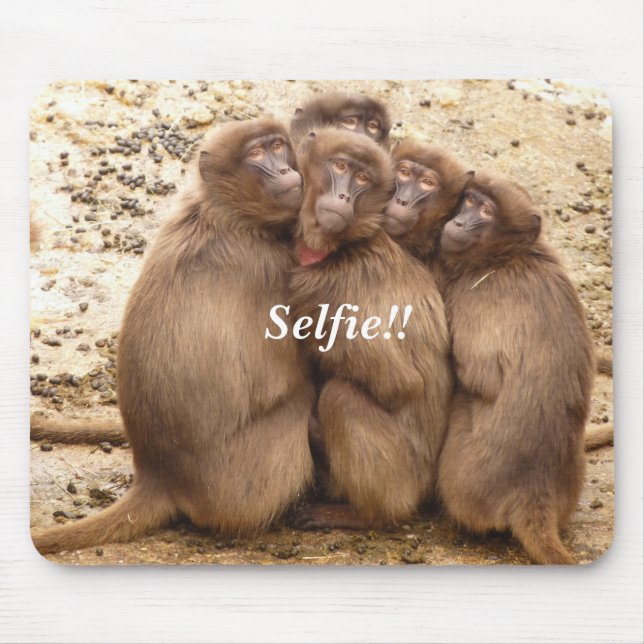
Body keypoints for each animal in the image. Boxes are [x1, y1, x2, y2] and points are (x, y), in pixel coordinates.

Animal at [31, 117, 315, 554]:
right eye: (256, 154)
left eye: (278, 147)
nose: (285, 169)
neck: (224, 214)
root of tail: (160, 475)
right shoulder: (272, 267)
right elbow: (286, 377)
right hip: (245, 486)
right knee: (302, 401)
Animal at [287, 128, 452, 529]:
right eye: (340, 167)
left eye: (361, 179)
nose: (343, 195)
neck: (341, 246)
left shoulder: (330, 288)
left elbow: (398, 384)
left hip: (403, 478)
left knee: (341, 398)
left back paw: (364, 514)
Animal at [435, 170, 595, 564]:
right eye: (470, 200)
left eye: (486, 211)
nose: (458, 222)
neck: (509, 256)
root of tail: (534, 492)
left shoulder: (478, 295)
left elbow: (480, 377)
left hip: (468, 477)